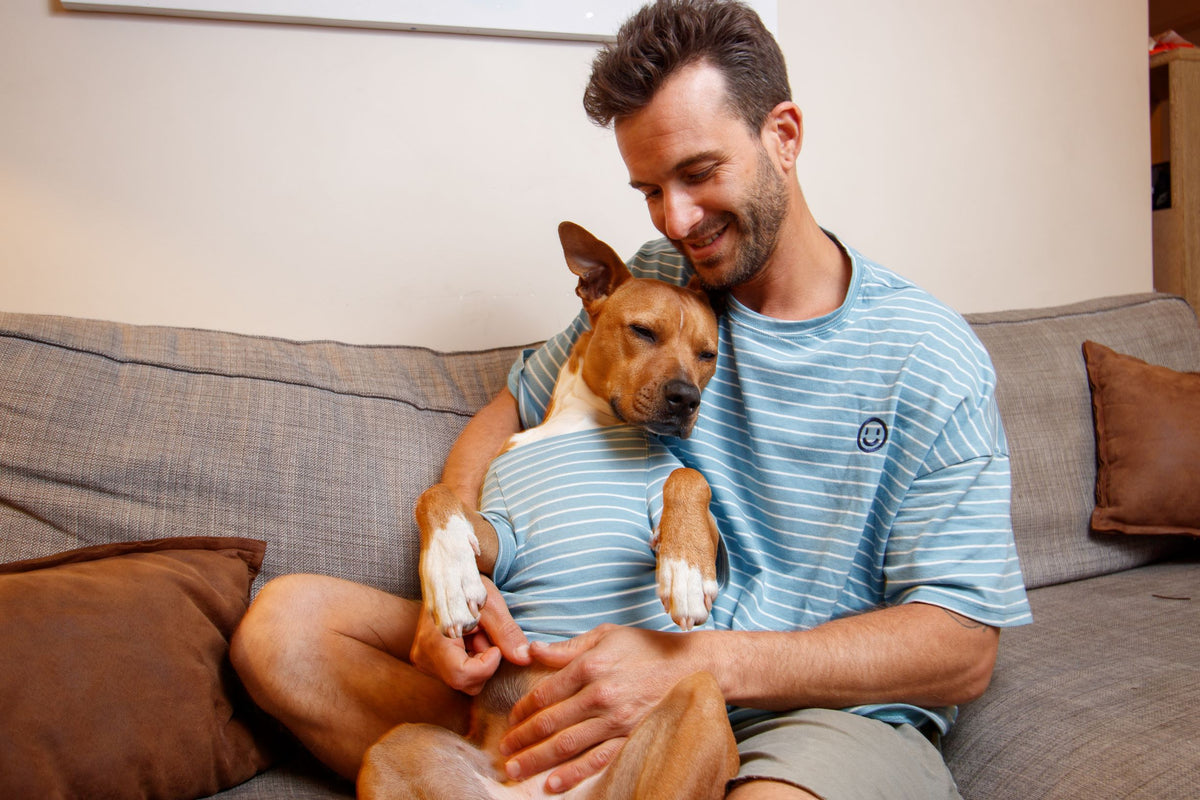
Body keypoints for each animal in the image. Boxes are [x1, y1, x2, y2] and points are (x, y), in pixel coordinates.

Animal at [350, 224, 734, 800]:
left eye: (708, 354)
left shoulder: (688, 514)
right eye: (643, 331)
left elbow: (688, 477)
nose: (686, 398)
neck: (589, 425)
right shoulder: (502, 537)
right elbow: (434, 496)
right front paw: (449, 576)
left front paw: (685, 570)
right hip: (391, 748)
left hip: (701, 699)